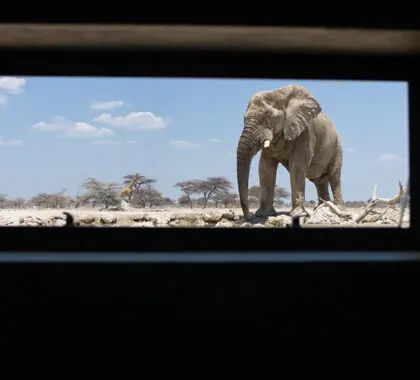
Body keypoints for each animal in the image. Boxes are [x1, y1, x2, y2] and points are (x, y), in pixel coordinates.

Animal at [236, 83, 344, 220]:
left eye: (268, 117)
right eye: (243, 118)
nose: (249, 215)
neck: (279, 94)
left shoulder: (304, 134)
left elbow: (296, 168)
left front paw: (297, 214)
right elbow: (265, 168)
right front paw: (264, 214)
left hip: (337, 148)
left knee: (334, 176)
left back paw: (338, 209)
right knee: (320, 181)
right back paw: (321, 208)